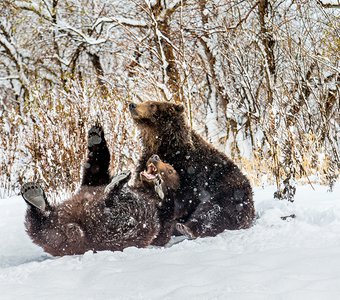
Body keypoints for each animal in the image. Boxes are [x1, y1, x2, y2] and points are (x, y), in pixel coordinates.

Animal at [20, 123, 181, 254]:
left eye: (170, 170)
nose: (155, 156)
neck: (144, 189)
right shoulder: (93, 184)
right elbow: (95, 171)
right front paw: (95, 137)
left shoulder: (162, 219)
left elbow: (164, 221)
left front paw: (160, 187)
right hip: (57, 232)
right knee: (39, 225)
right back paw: (34, 194)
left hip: (115, 232)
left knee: (123, 216)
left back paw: (116, 186)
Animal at [129, 101, 255, 239]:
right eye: (145, 102)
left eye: (152, 105)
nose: (132, 105)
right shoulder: (145, 161)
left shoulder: (190, 169)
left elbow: (184, 195)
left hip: (230, 193)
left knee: (213, 210)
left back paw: (188, 228)